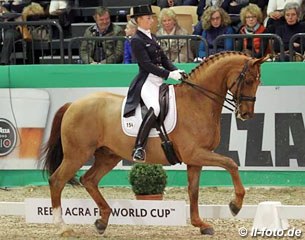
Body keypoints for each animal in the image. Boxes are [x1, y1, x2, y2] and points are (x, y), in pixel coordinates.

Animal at [42, 51, 266, 236]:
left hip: (108, 156)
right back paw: (62, 227)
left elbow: (193, 191)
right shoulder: (196, 153)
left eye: (259, 82)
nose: (246, 114)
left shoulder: (195, 159)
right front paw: (235, 205)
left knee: (89, 180)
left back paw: (102, 221)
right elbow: (231, 164)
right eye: (248, 80)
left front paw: (201, 225)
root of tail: (73, 104)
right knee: (57, 181)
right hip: (77, 154)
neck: (197, 102)